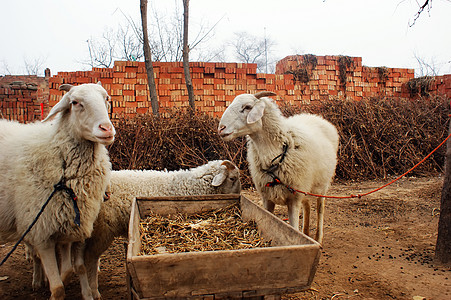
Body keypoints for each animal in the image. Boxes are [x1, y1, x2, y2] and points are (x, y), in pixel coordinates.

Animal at [0, 82, 115, 300]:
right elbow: (58, 286)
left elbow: (71, 270)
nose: (107, 129)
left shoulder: (70, 226)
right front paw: (53, 288)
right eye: (75, 102)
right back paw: (38, 279)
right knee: (34, 254)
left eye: (106, 99)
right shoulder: (41, 230)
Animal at [219, 91, 340, 244]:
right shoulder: (267, 197)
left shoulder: (294, 199)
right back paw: (306, 232)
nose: (221, 128)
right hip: (306, 186)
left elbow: (293, 229)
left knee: (320, 209)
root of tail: (315, 116)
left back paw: (318, 238)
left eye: (247, 107)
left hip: (322, 187)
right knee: (307, 205)